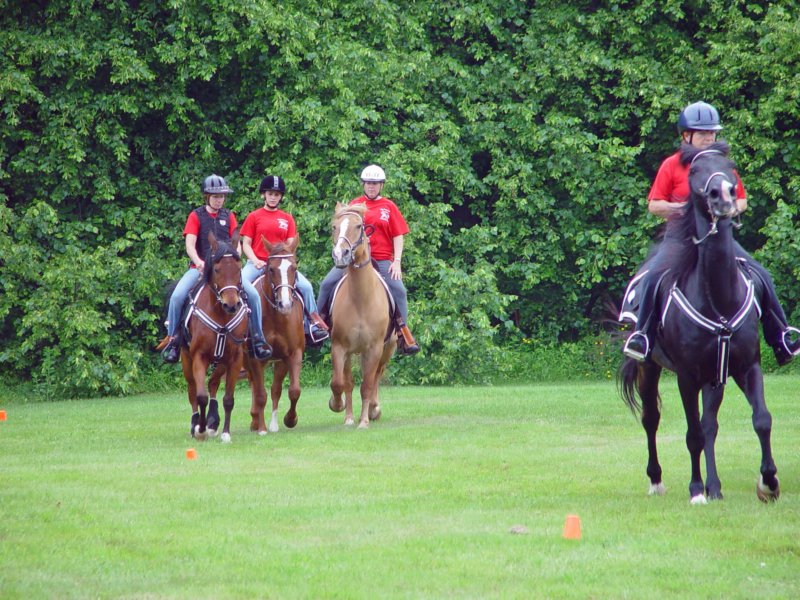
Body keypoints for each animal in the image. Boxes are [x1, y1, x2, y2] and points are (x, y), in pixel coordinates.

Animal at [180, 231, 249, 443]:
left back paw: (212, 422)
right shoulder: (198, 357)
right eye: (217, 269)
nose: (231, 304)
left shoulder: (235, 359)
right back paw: (196, 424)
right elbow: (200, 396)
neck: (221, 315)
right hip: (186, 359)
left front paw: (225, 433)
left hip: (221, 363)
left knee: (213, 384)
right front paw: (200, 430)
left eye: (238, 268)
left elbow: (228, 399)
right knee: (192, 390)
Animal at [243, 236, 306, 434]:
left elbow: (293, 391)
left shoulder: (292, 354)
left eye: (294, 267)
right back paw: (256, 420)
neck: (277, 317)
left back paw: (272, 423)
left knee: (275, 389)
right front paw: (261, 428)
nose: (285, 304)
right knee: (255, 387)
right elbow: (260, 394)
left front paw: (290, 419)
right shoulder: (256, 358)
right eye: (271, 269)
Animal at [328, 202, 397, 428]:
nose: (340, 254)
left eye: (359, 226)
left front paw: (364, 421)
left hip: (387, 349)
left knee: (376, 377)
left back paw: (373, 408)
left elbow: (367, 385)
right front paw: (340, 408)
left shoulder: (375, 348)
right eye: (334, 227)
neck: (361, 299)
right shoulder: (340, 347)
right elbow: (340, 383)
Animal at [619, 142, 780, 504]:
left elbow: (761, 420)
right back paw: (658, 480)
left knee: (710, 427)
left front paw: (768, 483)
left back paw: (715, 486)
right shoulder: (687, 376)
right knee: (652, 419)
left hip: (714, 378)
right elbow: (692, 433)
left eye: (730, 167)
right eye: (693, 171)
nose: (723, 195)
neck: (719, 300)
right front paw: (696, 490)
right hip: (650, 367)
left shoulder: (747, 366)